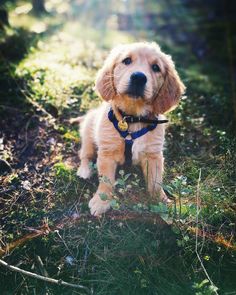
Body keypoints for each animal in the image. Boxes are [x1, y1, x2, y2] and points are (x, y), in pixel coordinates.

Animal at [76, 41, 185, 216]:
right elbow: (106, 180)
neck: (133, 118)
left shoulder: (153, 155)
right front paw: (101, 201)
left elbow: (155, 183)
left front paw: (161, 203)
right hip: (88, 131)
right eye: (127, 60)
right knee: (85, 154)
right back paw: (84, 171)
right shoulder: (107, 153)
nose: (139, 77)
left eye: (156, 67)